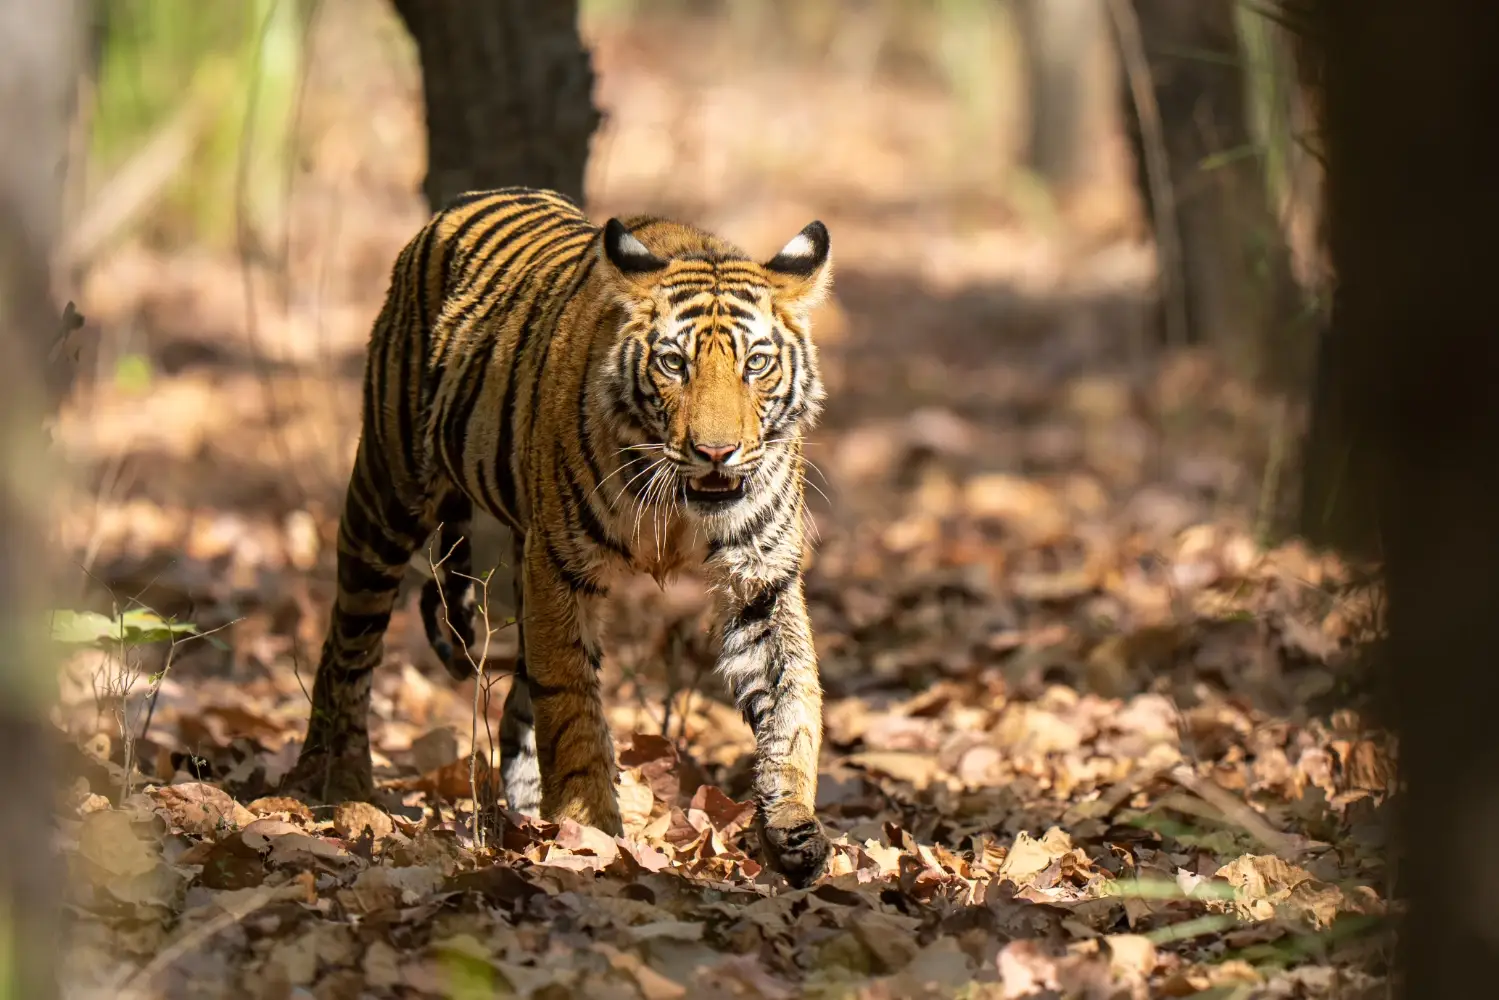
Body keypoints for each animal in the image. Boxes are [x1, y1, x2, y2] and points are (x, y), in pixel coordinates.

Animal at [283, 186, 834, 887]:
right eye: (673, 364)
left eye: (756, 364)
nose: (717, 453)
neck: (682, 504)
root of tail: (465, 202)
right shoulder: (561, 566)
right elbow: (571, 707)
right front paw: (591, 832)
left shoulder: (759, 578)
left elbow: (792, 697)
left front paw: (792, 827)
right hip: (389, 492)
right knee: (349, 641)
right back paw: (335, 782)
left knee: (517, 697)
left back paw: (520, 816)